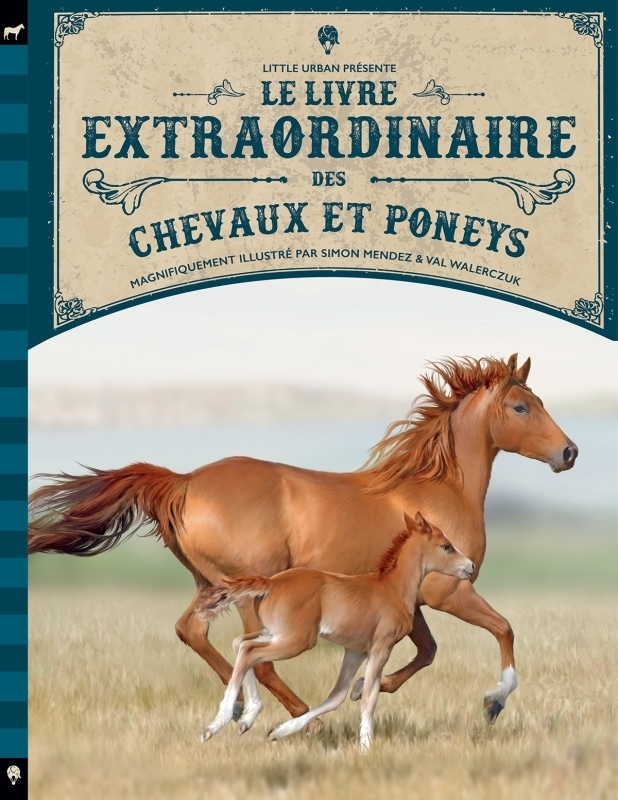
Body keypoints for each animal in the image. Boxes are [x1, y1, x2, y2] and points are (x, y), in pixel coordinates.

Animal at [29, 354, 578, 727]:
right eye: (521, 406)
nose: (569, 453)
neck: (438, 489)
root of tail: (182, 482)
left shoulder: (412, 600)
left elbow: (427, 650)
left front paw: (367, 688)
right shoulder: (450, 591)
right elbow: (503, 629)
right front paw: (494, 701)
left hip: (211, 585)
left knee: (195, 633)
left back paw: (242, 709)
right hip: (254, 588)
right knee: (257, 653)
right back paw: (289, 713)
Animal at [196, 512, 474, 751]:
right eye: (446, 546)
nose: (470, 566)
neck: (392, 588)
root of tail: (271, 582)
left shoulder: (355, 651)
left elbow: (337, 696)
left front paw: (280, 731)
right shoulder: (381, 646)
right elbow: (369, 696)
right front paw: (365, 747)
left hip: (277, 634)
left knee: (241, 644)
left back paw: (246, 718)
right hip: (298, 640)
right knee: (250, 652)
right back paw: (216, 725)